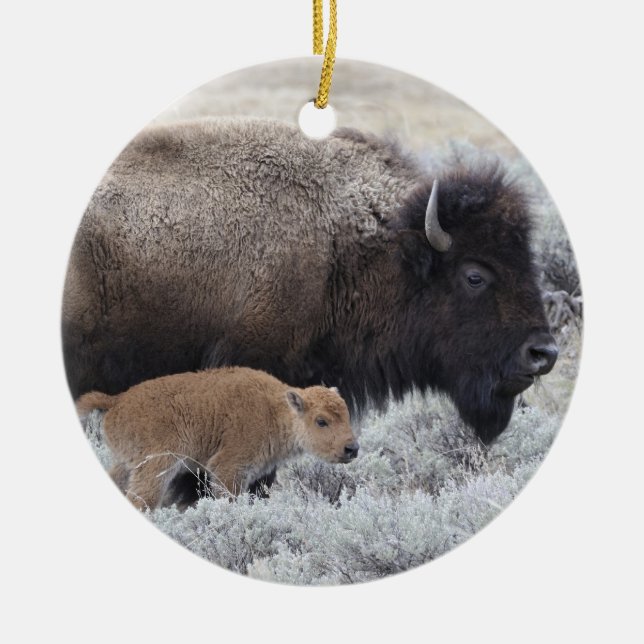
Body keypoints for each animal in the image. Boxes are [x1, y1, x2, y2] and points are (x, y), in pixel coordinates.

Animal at [76, 367, 357, 510]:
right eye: (321, 421)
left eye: (346, 414)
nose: (352, 448)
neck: (276, 411)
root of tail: (117, 400)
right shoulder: (228, 469)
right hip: (157, 466)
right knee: (142, 500)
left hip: (126, 465)